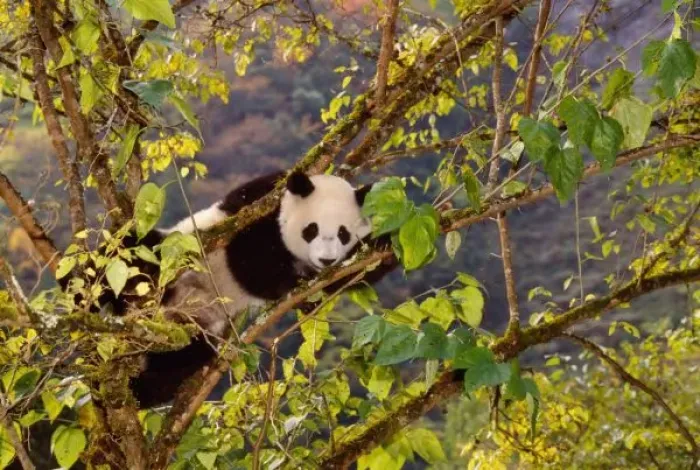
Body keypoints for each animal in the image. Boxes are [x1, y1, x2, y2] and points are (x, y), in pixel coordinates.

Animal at [62, 170, 392, 407]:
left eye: (343, 233)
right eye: (311, 230)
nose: (326, 259)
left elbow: (336, 283)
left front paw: (383, 244)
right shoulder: (253, 206)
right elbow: (250, 259)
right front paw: (282, 279)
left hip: (192, 328)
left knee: (179, 362)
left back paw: (138, 392)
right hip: (162, 252)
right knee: (122, 254)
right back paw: (79, 298)